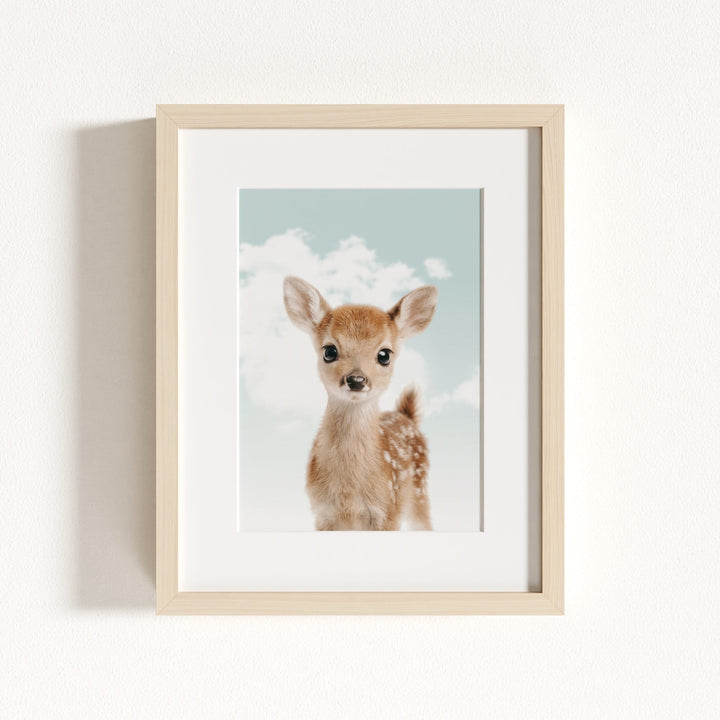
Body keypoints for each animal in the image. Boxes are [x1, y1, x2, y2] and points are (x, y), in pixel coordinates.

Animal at [283, 276, 438, 531]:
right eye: (329, 351)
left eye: (384, 355)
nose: (356, 380)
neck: (349, 493)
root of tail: (406, 416)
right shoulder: (322, 513)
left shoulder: (388, 511)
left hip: (419, 491)